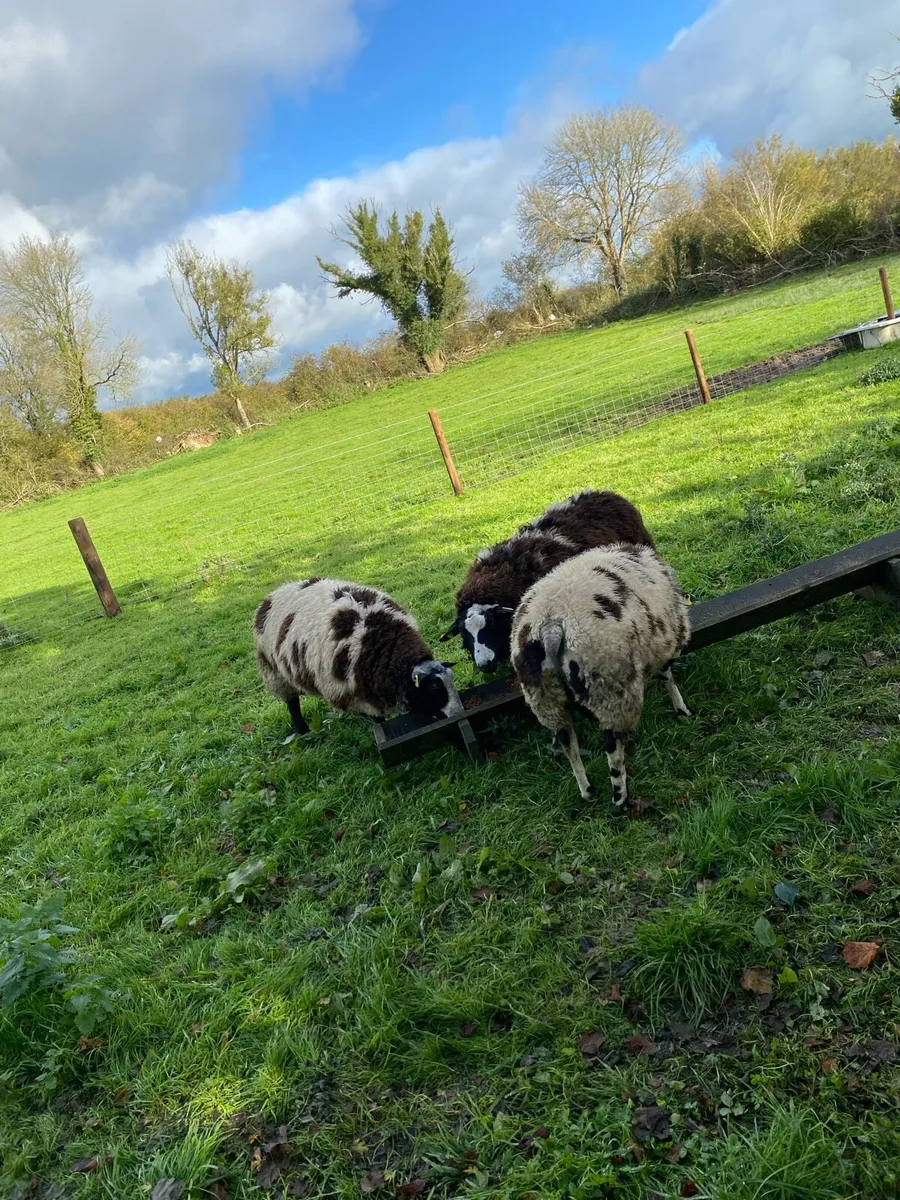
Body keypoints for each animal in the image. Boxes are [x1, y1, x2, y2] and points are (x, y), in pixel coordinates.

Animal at [254, 577, 463, 734]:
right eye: (434, 689)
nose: (458, 712)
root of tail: (274, 593)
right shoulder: (355, 691)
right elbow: (377, 718)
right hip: (275, 672)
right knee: (292, 703)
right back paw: (303, 730)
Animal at [510, 543, 691, 807]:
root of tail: (551, 627)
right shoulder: (662, 645)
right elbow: (668, 677)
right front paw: (682, 709)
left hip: (546, 698)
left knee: (568, 743)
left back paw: (587, 789)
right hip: (610, 687)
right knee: (612, 749)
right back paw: (620, 797)